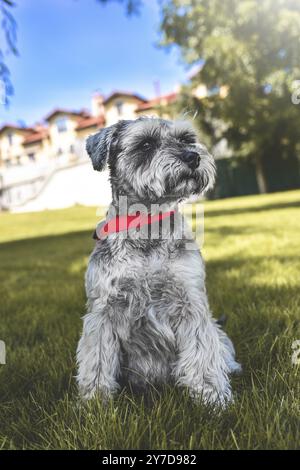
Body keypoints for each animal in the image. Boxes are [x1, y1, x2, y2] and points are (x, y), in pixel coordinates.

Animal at [76, 115, 240, 406]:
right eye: (146, 144)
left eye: (187, 139)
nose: (192, 156)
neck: (148, 227)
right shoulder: (103, 309)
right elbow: (97, 359)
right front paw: (95, 401)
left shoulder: (190, 302)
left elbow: (202, 353)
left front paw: (212, 398)